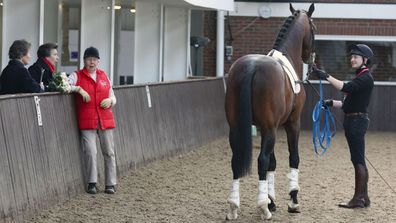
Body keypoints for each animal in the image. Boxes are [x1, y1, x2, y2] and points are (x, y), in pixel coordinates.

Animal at [226, 2, 316, 220]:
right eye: (314, 28)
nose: (310, 57)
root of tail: (251, 67)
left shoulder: (271, 127)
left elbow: (273, 164)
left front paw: (271, 200)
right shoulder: (291, 123)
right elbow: (293, 158)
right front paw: (292, 201)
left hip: (237, 128)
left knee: (236, 161)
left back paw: (233, 207)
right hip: (270, 129)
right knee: (262, 160)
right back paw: (263, 210)